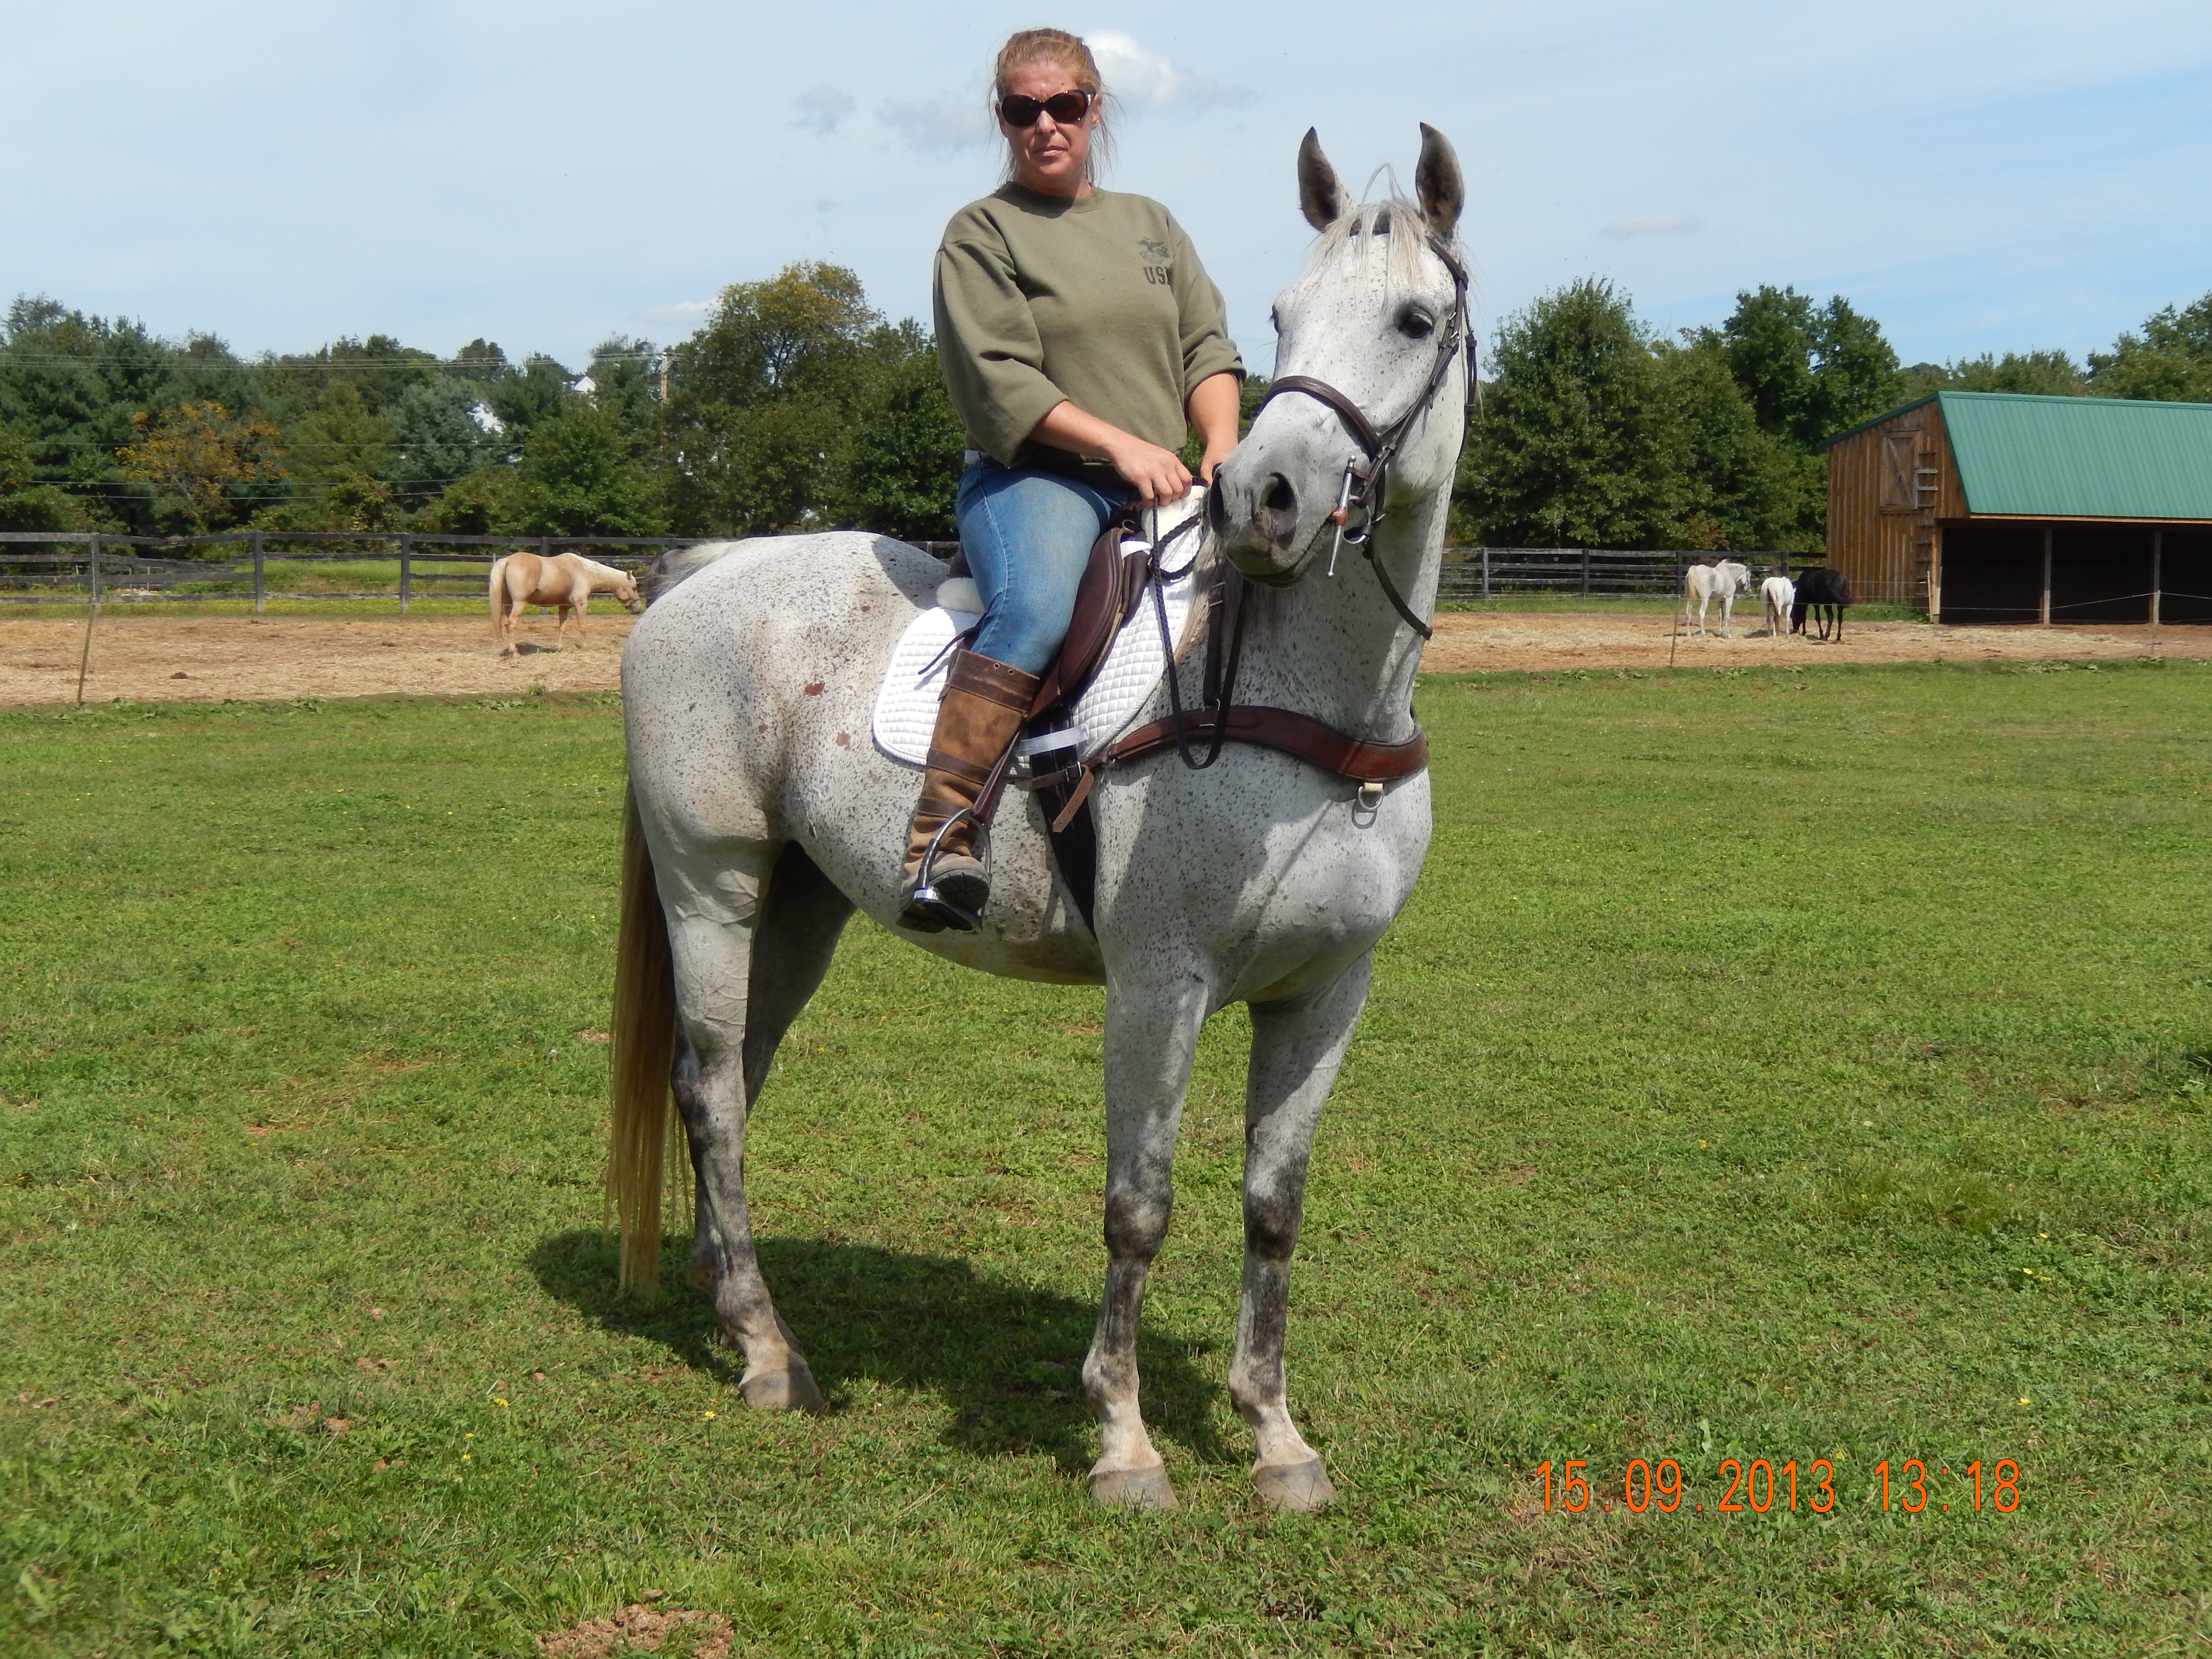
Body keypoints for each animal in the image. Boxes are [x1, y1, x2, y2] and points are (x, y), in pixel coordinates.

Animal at [487, 551, 642, 655]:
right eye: (634, 588)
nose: (638, 610)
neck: (585, 572)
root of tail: (508, 560)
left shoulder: (564, 607)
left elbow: (563, 628)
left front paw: (560, 649)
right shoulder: (581, 604)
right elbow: (583, 628)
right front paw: (586, 646)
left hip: (509, 605)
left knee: (507, 624)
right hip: (519, 603)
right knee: (512, 624)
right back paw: (515, 652)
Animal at [605, 125, 1470, 1514]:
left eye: (1412, 318)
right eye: (1284, 315)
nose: (1262, 498)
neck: (1309, 703)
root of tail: (706, 567)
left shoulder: (1329, 990)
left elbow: (1272, 1205)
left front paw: (1274, 1433)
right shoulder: (1159, 984)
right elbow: (1139, 1204)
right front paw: (1124, 1439)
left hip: (799, 901)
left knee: (734, 1073)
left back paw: (725, 1294)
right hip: (712, 880)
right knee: (711, 1084)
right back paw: (768, 1351)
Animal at [1681, 559, 1753, 637]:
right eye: (1749, 576)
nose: (1749, 591)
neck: (1729, 574)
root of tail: (1694, 570)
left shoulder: (1720, 600)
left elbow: (1721, 616)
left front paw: (1720, 632)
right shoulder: (1729, 598)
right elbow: (1727, 616)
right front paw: (1727, 635)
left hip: (1689, 599)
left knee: (1688, 614)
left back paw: (1688, 633)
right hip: (1705, 600)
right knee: (1701, 614)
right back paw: (1703, 633)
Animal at [1760, 575, 1795, 638]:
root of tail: (1770, 584)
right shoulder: (1789, 606)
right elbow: (1787, 619)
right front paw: (1788, 634)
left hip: (1766, 606)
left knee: (1768, 619)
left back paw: (1770, 634)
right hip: (1778, 606)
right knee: (1776, 617)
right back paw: (1775, 634)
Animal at [1791, 566, 1852, 640]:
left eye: (1793, 618)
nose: (1794, 631)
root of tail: (1838, 579)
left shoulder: (1815, 604)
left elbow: (1816, 618)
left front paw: (1821, 635)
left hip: (1827, 603)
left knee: (1830, 617)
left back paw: (1826, 636)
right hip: (1839, 604)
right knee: (1840, 618)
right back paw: (1838, 637)